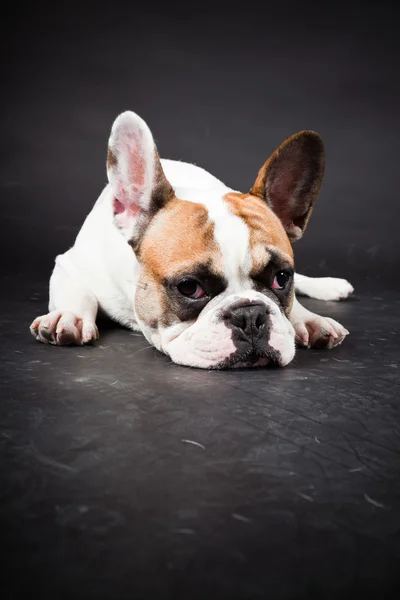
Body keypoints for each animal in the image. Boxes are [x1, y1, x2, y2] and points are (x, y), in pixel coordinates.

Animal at [30, 110, 354, 368]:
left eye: (281, 278)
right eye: (189, 287)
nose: (250, 315)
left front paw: (307, 318)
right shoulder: (71, 265)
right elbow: (77, 292)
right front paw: (67, 316)